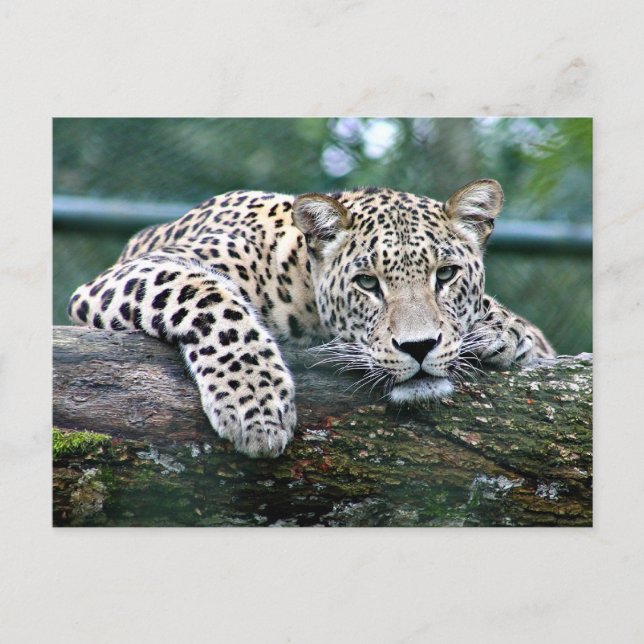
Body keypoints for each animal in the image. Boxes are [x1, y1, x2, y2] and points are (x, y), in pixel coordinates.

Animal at [68, 179, 555, 458]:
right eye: (367, 283)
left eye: (447, 274)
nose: (418, 348)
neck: (299, 280)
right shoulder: (131, 274)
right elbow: (210, 298)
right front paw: (256, 405)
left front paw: (505, 330)